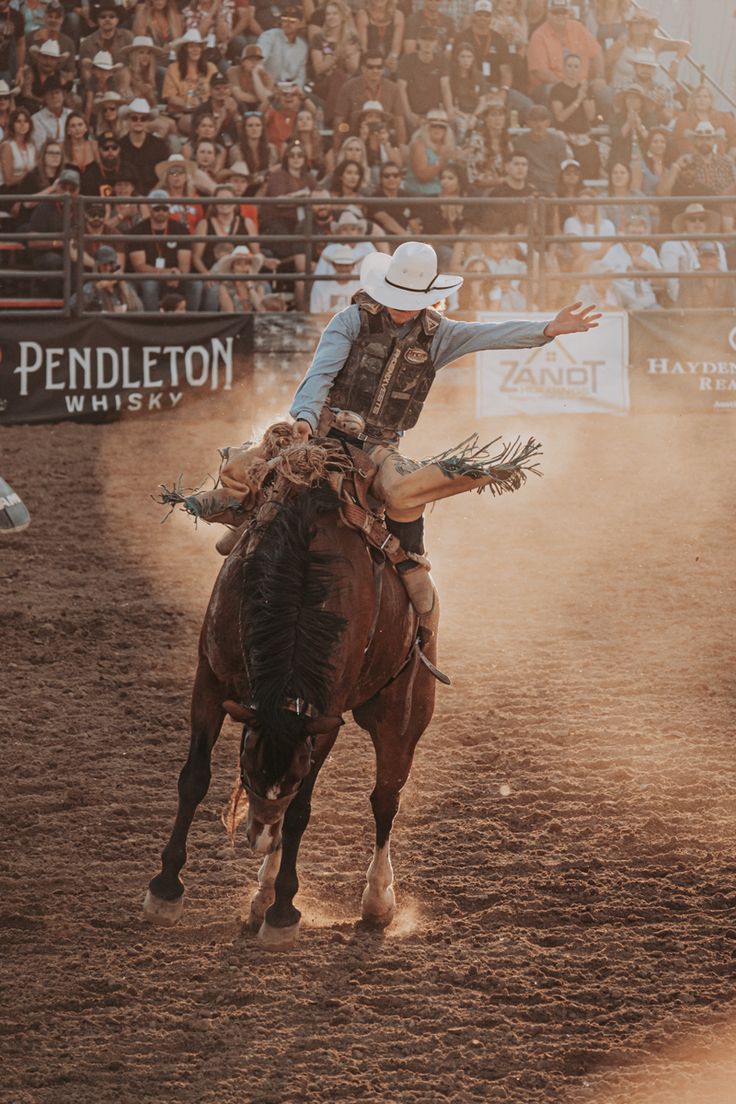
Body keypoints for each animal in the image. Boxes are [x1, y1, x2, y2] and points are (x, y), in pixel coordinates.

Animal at [145, 450, 436, 949]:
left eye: (294, 775)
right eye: (246, 768)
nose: (258, 839)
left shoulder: (325, 717)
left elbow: (299, 812)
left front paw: (283, 912)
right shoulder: (210, 681)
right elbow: (194, 778)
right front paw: (165, 889)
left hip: (403, 716)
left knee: (385, 800)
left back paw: (376, 901)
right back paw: (260, 895)